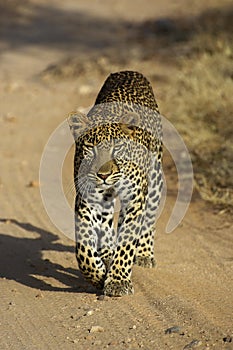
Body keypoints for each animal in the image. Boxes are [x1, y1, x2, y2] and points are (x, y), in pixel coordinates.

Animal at [68, 70, 162, 296]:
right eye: (90, 148)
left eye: (116, 148)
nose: (103, 175)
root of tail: (129, 71)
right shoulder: (88, 199)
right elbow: (84, 247)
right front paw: (98, 275)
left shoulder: (135, 198)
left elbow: (127, 242)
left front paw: (118, 281)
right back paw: (107, 253)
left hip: (156, 178)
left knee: (149, 217)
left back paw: (144, 254)